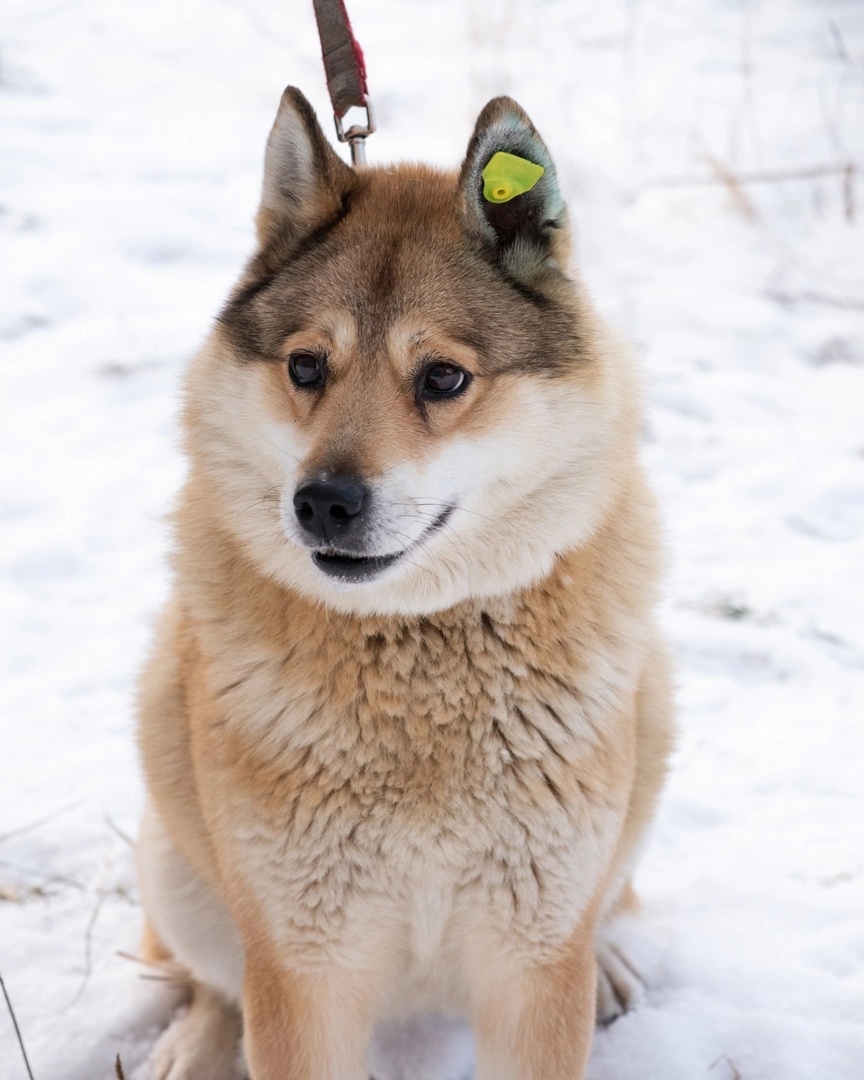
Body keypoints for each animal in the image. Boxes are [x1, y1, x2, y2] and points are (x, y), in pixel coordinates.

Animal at [135, 86, 673, 1080]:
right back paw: (195, 1044)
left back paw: (612, 962)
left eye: (444, 378)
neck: (417, 650)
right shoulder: (303, 969)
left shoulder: (533, 960)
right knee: (207, 975)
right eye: (307, 366)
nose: (323, 502)